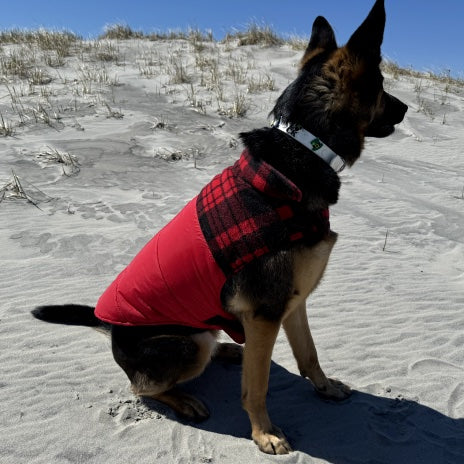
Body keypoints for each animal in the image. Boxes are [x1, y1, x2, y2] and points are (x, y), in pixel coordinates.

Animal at [32, 0, 408, 454]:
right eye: (382, 84)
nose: (406, 109)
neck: (301, 152)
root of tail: (108, 326)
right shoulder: (266, 311)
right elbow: (257, 386)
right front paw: (264, 432)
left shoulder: (291, 302)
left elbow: (309, 354)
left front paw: (324, 387)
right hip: (184, 344)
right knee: (143, 388)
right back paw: (186, 398)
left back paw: (228, 350)